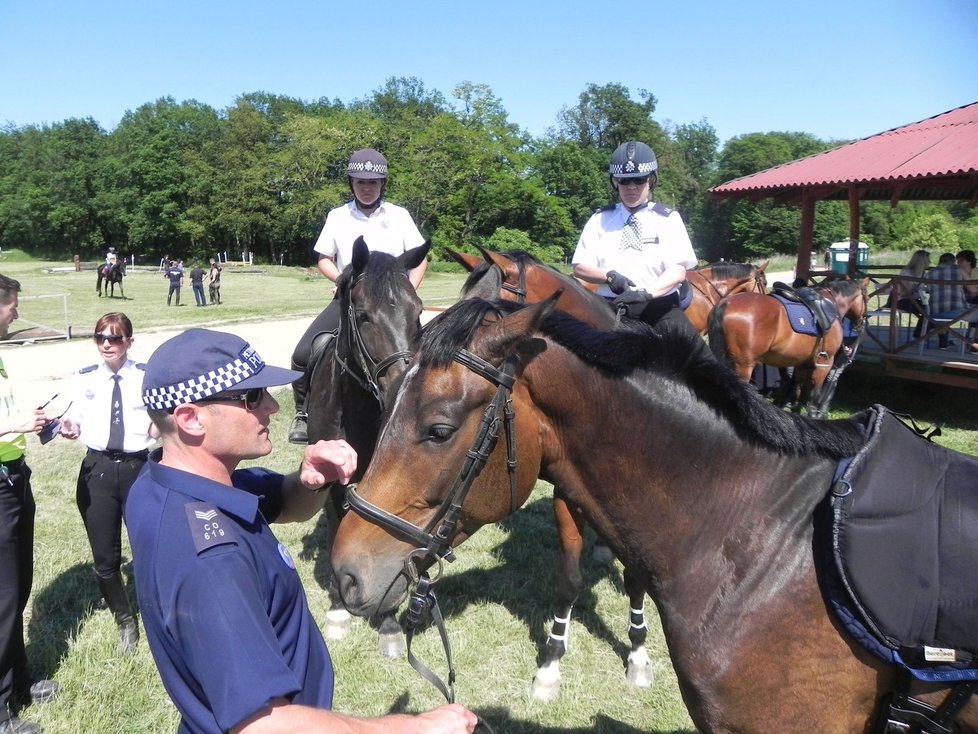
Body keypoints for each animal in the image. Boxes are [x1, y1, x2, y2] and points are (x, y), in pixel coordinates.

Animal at [304, 237, 428, 660]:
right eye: (363, 315)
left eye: (418, 312)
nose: (405, 387)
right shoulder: (331, 480)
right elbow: (335, 533)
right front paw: (339, 610)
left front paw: (388, 621)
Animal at [704, 278, 864, 420]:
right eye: (866, 297)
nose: (861, 323)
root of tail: (725, 304)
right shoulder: (824, 362)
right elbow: (814, 394)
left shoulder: (802, 363)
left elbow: (797, 388)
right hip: (743, 366)